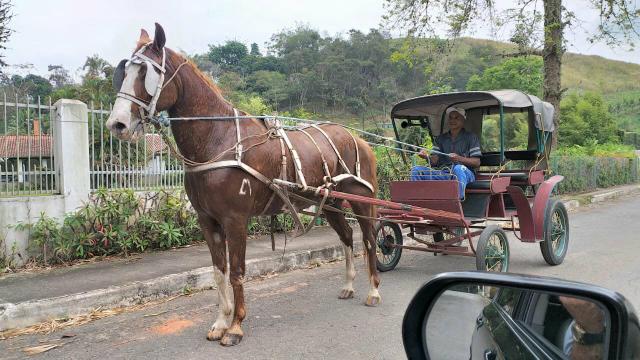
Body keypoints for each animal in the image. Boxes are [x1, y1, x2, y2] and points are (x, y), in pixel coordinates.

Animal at [105, 23, 380, 348]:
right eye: (124, 71)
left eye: (146, 72)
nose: (117, 124)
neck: (218, 139)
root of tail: (359, 139)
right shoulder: (207, 220)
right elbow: (219, 272)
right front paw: (220, 322)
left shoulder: (235, 219)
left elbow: (236, 272)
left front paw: (235, 327)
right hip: (330, 202)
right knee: (348, 236)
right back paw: (349, 285)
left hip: (362, 199)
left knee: (369, 239)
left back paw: (374, 290)